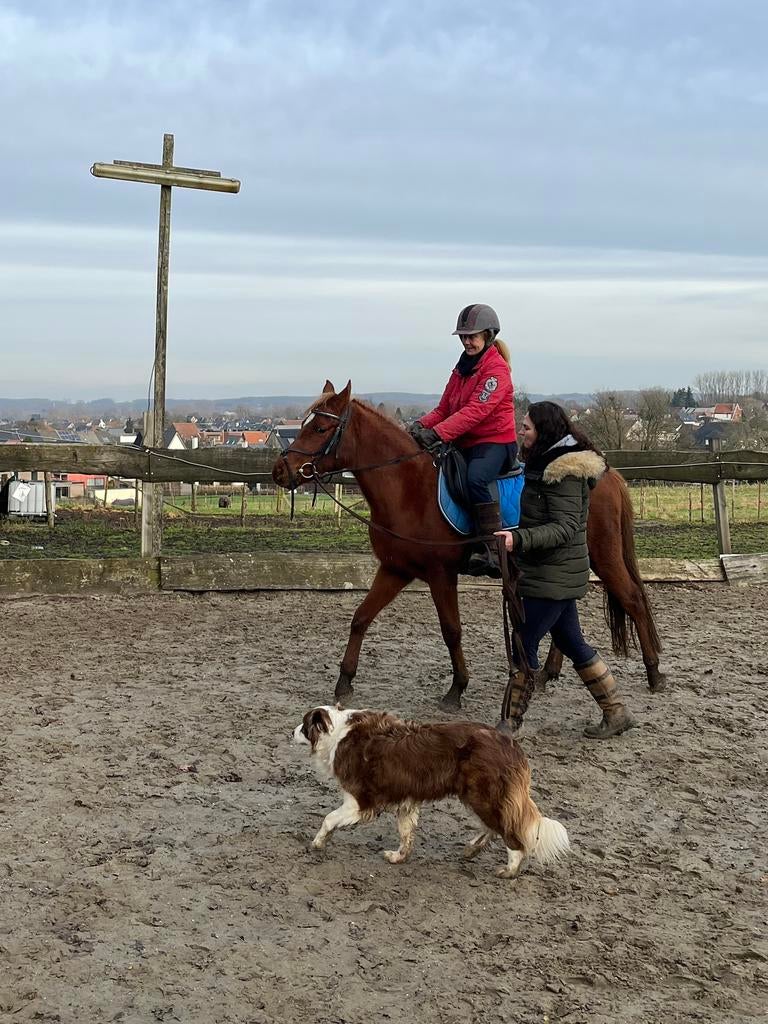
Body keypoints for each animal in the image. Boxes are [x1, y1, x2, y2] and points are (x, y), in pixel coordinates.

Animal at [272, 380, 665, 714]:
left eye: (319, 430)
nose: (280, 471)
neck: (408, 486)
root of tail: (607, 474)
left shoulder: (440, 575)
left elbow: (452, 630)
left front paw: (457, 689)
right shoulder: (395, 569)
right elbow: (360, 618)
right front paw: (344, 681)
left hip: (603, 556)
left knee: (633, 599)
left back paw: (654, 672)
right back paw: (547, 673)